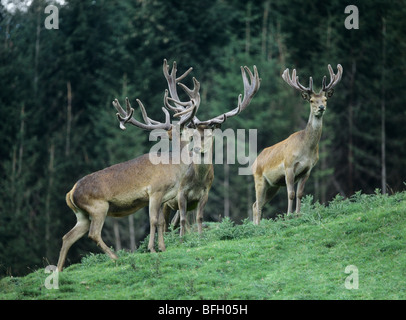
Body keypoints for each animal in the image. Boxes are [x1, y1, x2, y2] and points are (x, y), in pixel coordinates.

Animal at [252, 64, 340, 225]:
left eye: (325, 99)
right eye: (311, 100)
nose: (321, 108)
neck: (306, 150)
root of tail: (255, 162)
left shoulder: (307, 170)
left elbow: (299, 194)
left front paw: (298, 215)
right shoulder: (289, 167)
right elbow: (291, 194)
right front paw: (288, 216)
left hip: (273, 185)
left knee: (256, 204)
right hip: (259, 179)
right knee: (257, 203)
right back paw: (256, 226)